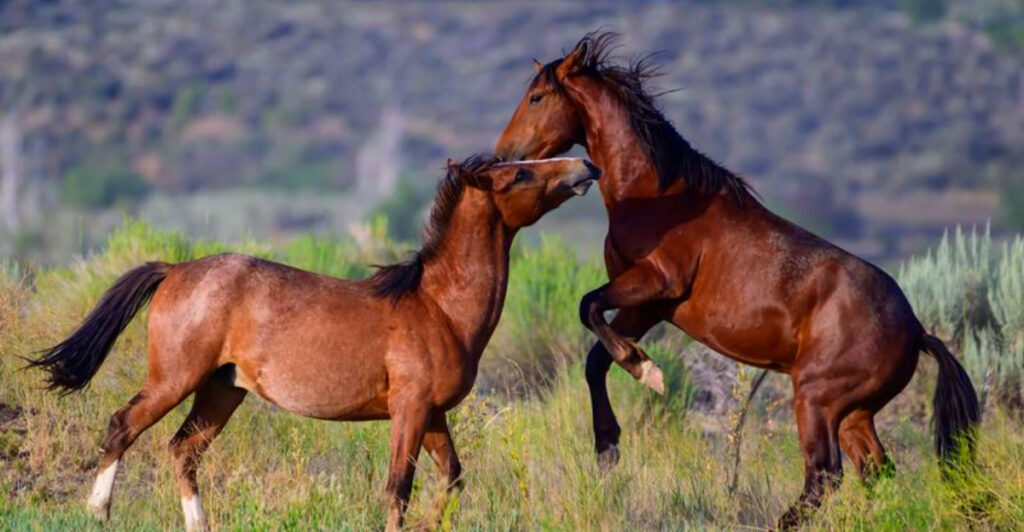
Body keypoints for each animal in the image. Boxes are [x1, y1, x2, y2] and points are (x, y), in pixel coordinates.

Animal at [30, 155, 600, 532]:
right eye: (520, 172)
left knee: (183, 451)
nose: (584, 165)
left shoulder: (433, 413)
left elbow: (451, 480)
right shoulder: (410, 409)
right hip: (175, 379)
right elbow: (399, 487)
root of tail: (175, 269)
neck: (439, 307)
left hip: (221, 390)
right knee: (123, 426)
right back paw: (98, 511)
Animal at [495, 32, 979, 528]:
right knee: (875, 471)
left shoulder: (656, 283)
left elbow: (587, 307)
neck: (661, 197)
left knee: (825, 474)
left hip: (817, 399)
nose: (504, 156)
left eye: (536, 97)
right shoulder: (646, 305)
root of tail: (917, 329)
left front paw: (648, 372)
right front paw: (608, 444)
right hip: (854, 414)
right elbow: (595, 356)